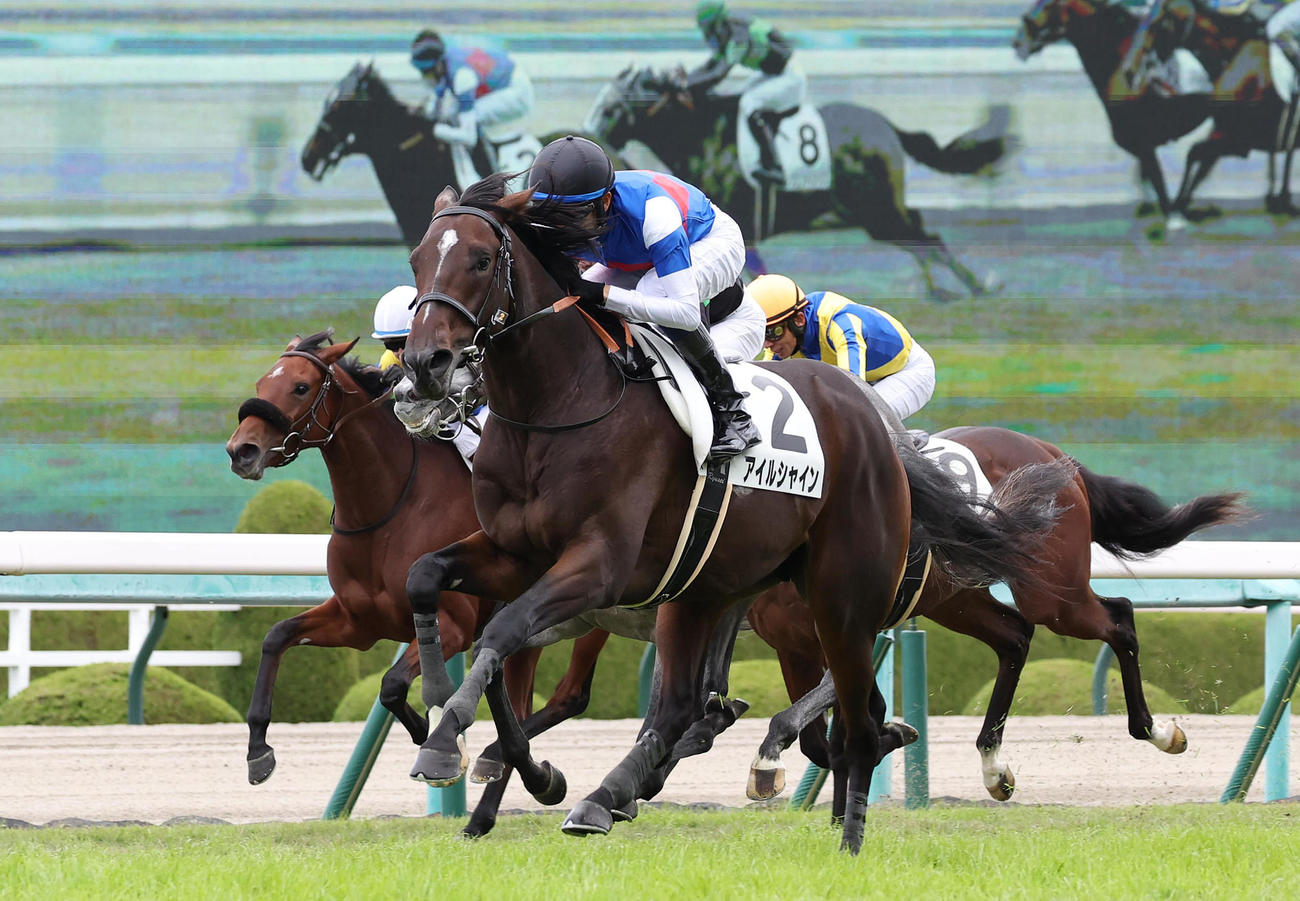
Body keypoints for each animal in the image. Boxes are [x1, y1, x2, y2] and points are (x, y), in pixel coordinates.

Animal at [396, 172, 1075, 853]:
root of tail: (877, 423)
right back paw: (610, 794)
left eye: (481, 260)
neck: (558, 406)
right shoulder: (517, 554)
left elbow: (504, 630)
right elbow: (432, 582)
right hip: (710, 584)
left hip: (839, 591)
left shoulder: (599, 565)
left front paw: (450, 739)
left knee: (852, 705)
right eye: (417, 260)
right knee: (691, 704)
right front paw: (454, 717)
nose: (423, 366)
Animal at [582, 65, 1007, 301]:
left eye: (614, 103)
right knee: (919, 238)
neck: (702, 135)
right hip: (874, 214)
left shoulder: (739, 227)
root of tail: (887, 128)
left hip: (878, 210)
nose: (588, 134)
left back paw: (976, 287)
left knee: (924, 236)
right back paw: (948, 289)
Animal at [746, 425, 1244, 805]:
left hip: (1052, 593)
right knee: (1015, 636)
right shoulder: (793, 647)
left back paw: (1156, 730)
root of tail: (1054, 454)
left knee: (1117, 618)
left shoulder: (848, 632)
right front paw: (888, 736)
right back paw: (993, 765)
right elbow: (821, 739)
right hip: (955, 599)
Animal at [1013, 0, 1216, 223]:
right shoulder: (1138, 147)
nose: (1018, 42)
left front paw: (1173, 218)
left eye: (1048, 5)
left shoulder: (1144, 144)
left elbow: (1159, 187)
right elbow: (1148, 184)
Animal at [1122, 0, 1300, 216]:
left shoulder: (1237, 140)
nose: (1129, 71)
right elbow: (1196, 158)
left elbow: (1195, 155)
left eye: (1157, 24)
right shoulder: (1225, 133)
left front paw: (1179, 205)